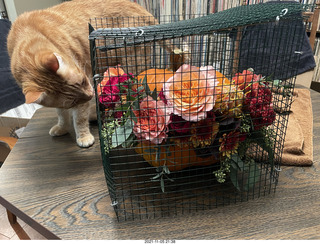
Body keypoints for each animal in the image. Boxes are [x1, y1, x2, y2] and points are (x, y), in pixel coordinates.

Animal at [6, 0, 157, 148]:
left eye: (84, 81)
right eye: (72, 101)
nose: (91, 95)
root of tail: (141, 10)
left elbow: (79, 119)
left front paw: (83, 136)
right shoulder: (67, 104)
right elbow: (62, 115)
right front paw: (62, 127)